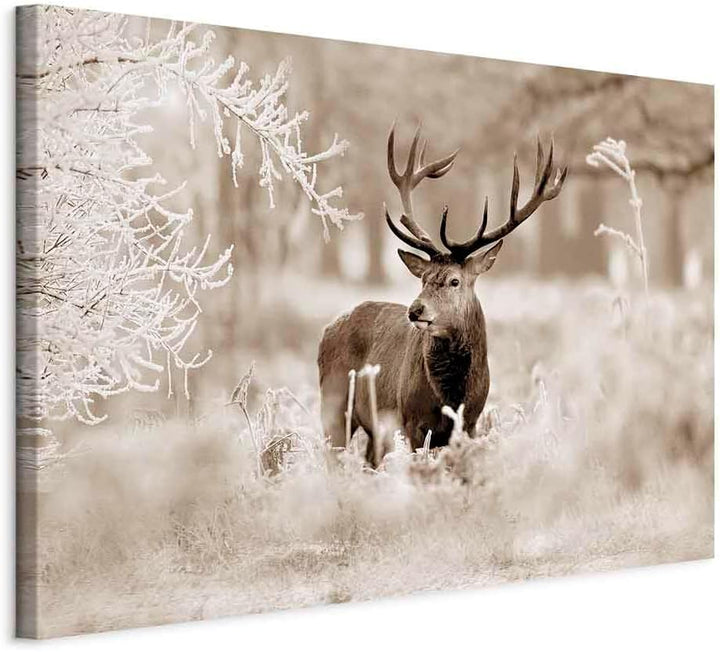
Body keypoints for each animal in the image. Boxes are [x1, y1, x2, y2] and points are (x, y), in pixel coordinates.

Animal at [317, 125, 567, 466]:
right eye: (423, 278)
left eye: (454, 281)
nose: (415, 310)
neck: (452, 395)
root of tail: (327, 330)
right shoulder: (410, 421)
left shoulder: (471, 423)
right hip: (334, 402)